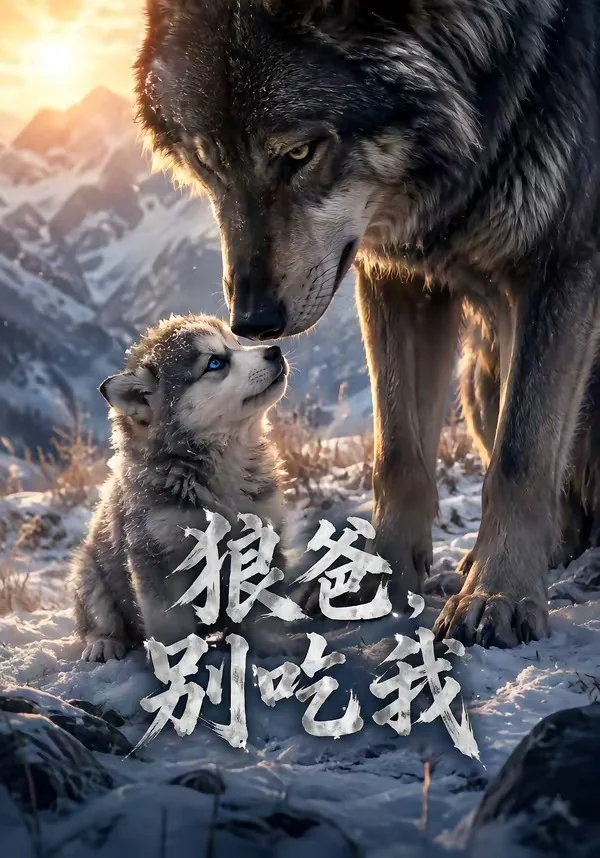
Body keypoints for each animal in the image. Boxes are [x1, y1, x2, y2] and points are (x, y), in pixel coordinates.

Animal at [71, 314, 289, 662]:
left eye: (236, 343)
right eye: (214, 362)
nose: (274, 350)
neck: (223, 461)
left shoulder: (262, 533)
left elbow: (260, 604)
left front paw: (273, 644)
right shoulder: (157, 554)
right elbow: (169, 623)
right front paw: (175, 664)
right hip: (90, 574)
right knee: (99, 618)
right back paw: (102, 642)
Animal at [135, 0, 600, 648]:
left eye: (298, 153)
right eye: (207, 160)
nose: (252, 322)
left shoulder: (563, 256)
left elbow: (520, 457)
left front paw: (499, 594)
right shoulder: (401, 276)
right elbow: (397, 454)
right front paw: (372, 581)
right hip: (479, 382)